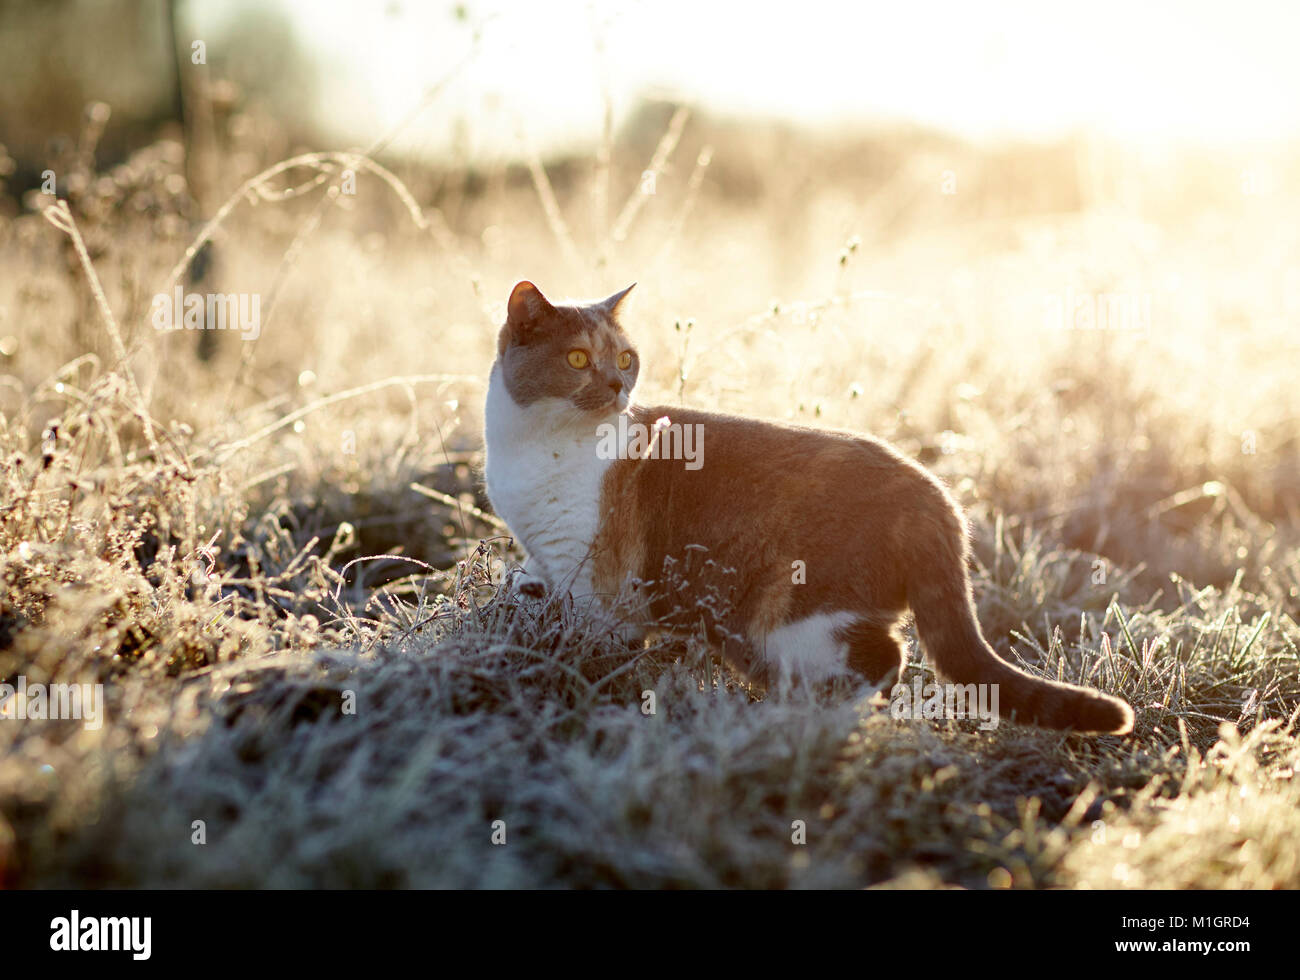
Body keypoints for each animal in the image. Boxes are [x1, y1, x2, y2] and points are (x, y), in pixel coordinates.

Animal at [483, 278, 1133, 727]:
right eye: (577, 359)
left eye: (623, 358)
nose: (619, 387)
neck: (534, 448)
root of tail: (936, 495)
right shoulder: (548, 562)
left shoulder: (598, 579)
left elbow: (596, 647)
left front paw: (586, 682)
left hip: (791, 614)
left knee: (882, 657)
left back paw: (803, 722)